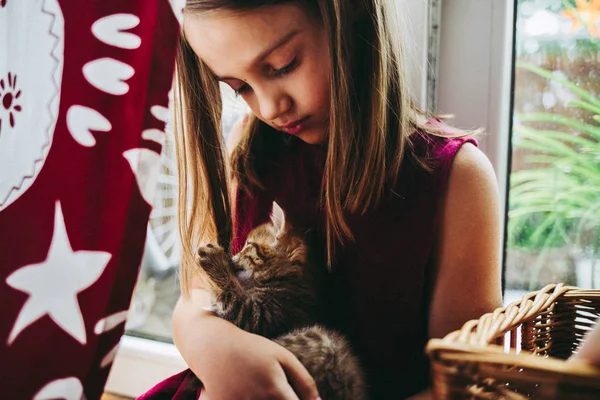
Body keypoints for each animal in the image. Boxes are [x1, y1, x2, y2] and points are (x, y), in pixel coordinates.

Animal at [197, 203, 368, 400]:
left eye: (248, 245)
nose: (232, 257)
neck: (289, 280)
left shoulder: (260, 316)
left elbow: (232, 300)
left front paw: (216, 260)